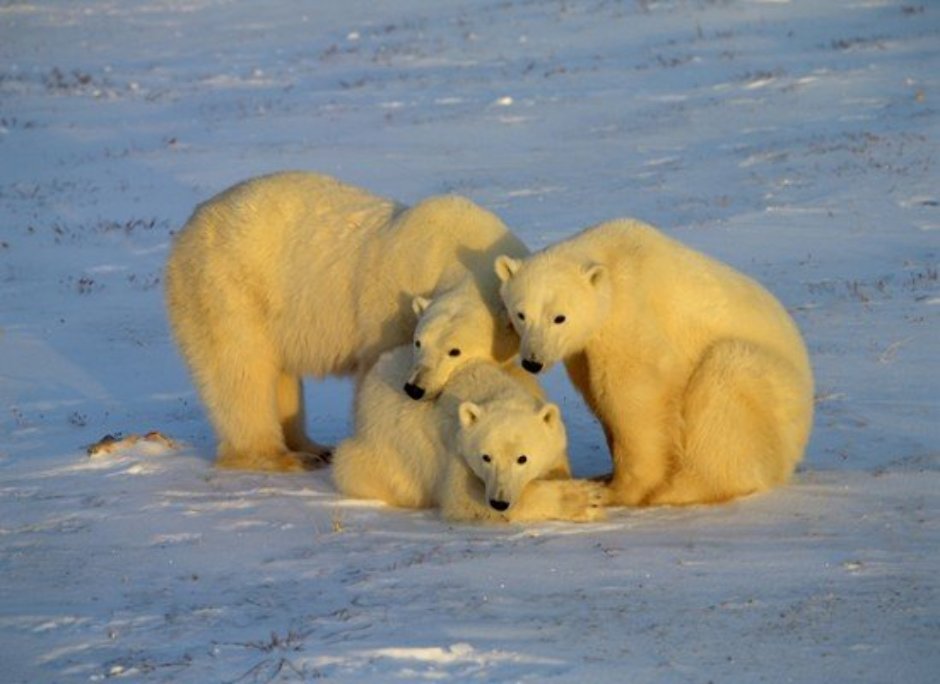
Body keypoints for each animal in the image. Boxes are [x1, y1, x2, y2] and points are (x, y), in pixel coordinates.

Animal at [164, 171, 524, 472]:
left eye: (455, 351)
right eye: (419, 343)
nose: (415, 388)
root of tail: (190, 224)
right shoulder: (391, 310)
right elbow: (377, 370)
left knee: (280, 375)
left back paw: (313, 447)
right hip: (226, 288)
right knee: (241, 371)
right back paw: (280, 456)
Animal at [330, 348, 608, 524]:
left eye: (522, 458)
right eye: (486, 457)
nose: (498, 502)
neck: (490, 387)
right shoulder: (454, 447)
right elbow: (463, 497)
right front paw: (586, 499)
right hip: (375, 453)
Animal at [496, 220, 812, 508]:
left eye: (559, 317)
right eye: (521, 314)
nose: (533, 361)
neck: (611, 256)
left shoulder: (630, 312)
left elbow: (634, 394)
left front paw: (618, 491)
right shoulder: (584, 351)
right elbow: (599, 395)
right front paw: (607, 476)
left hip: (773, 395)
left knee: (725, 382)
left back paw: (677, 489)